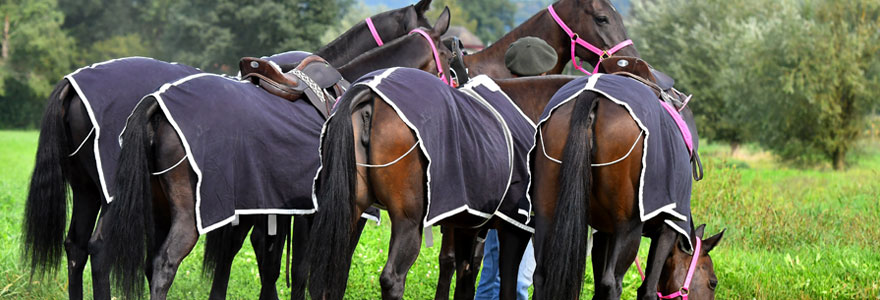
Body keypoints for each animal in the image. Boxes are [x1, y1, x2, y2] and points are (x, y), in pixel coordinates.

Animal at [19, 1, 434, 298]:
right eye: (445, 50)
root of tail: (71, 85)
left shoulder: (264, 206)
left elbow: (259, 260)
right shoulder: (307, 210)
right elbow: (306, 266)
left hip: (90, 192)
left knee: (78, 247)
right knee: (107, 251)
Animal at [524, 69, 724, 298]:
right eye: (713, 282)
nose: (714, 283)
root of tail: (591, 94)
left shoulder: (604, 231)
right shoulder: (667, 228)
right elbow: (647, 290)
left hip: (546, 215)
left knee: (542, 276)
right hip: (628, 227)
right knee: (613, 282)